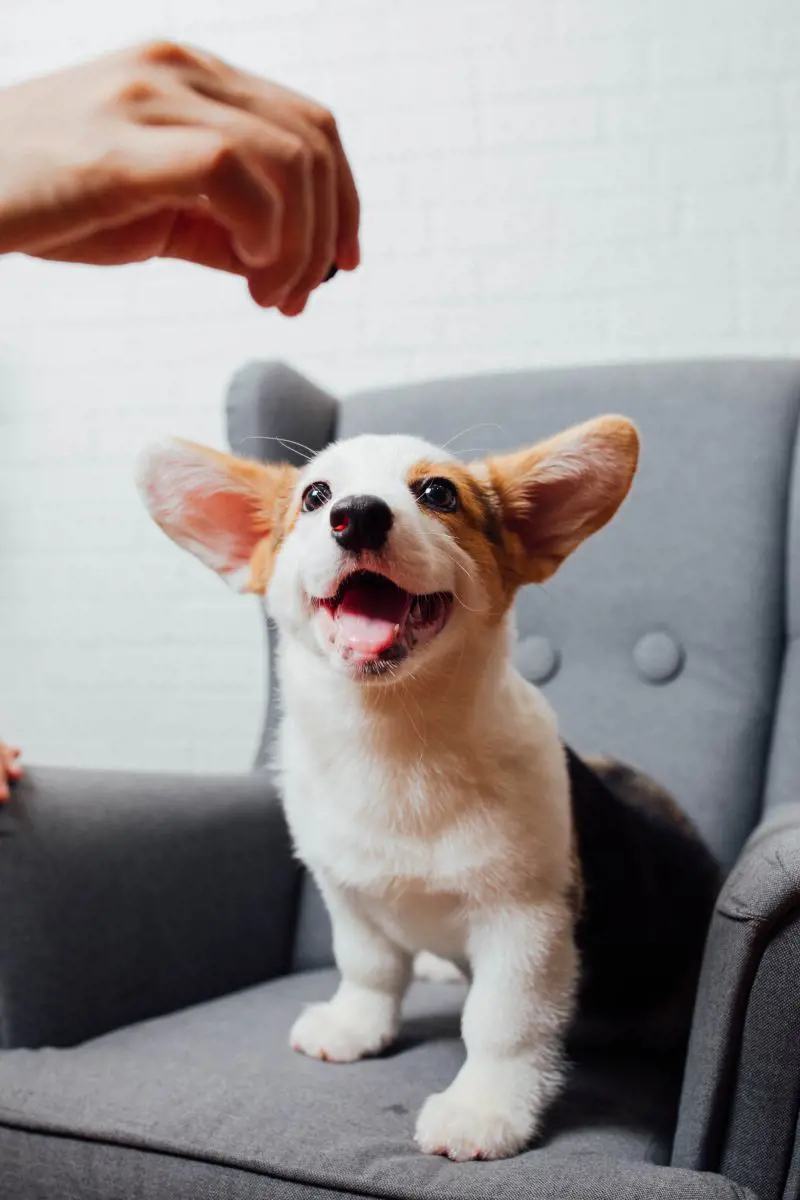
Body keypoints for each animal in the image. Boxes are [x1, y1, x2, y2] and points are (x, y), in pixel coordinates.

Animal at [137, 420, 714, 1161]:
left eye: (438, 493)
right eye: (316, 495)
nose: (356, 515)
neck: (394, 740)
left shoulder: (523, 920)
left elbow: (501, 1022)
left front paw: (484, 1110)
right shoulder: (347, 893)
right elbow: (369, 967)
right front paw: (354, 1027)